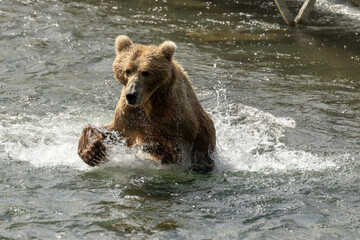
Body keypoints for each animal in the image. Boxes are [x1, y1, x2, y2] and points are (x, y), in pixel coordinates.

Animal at [77, 34, 215, 172]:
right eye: (127, 70)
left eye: (146, 72)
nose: (131, 95)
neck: (149, 101)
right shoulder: (130, 114)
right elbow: (117, 132)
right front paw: (92, 151)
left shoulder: (177, 116)